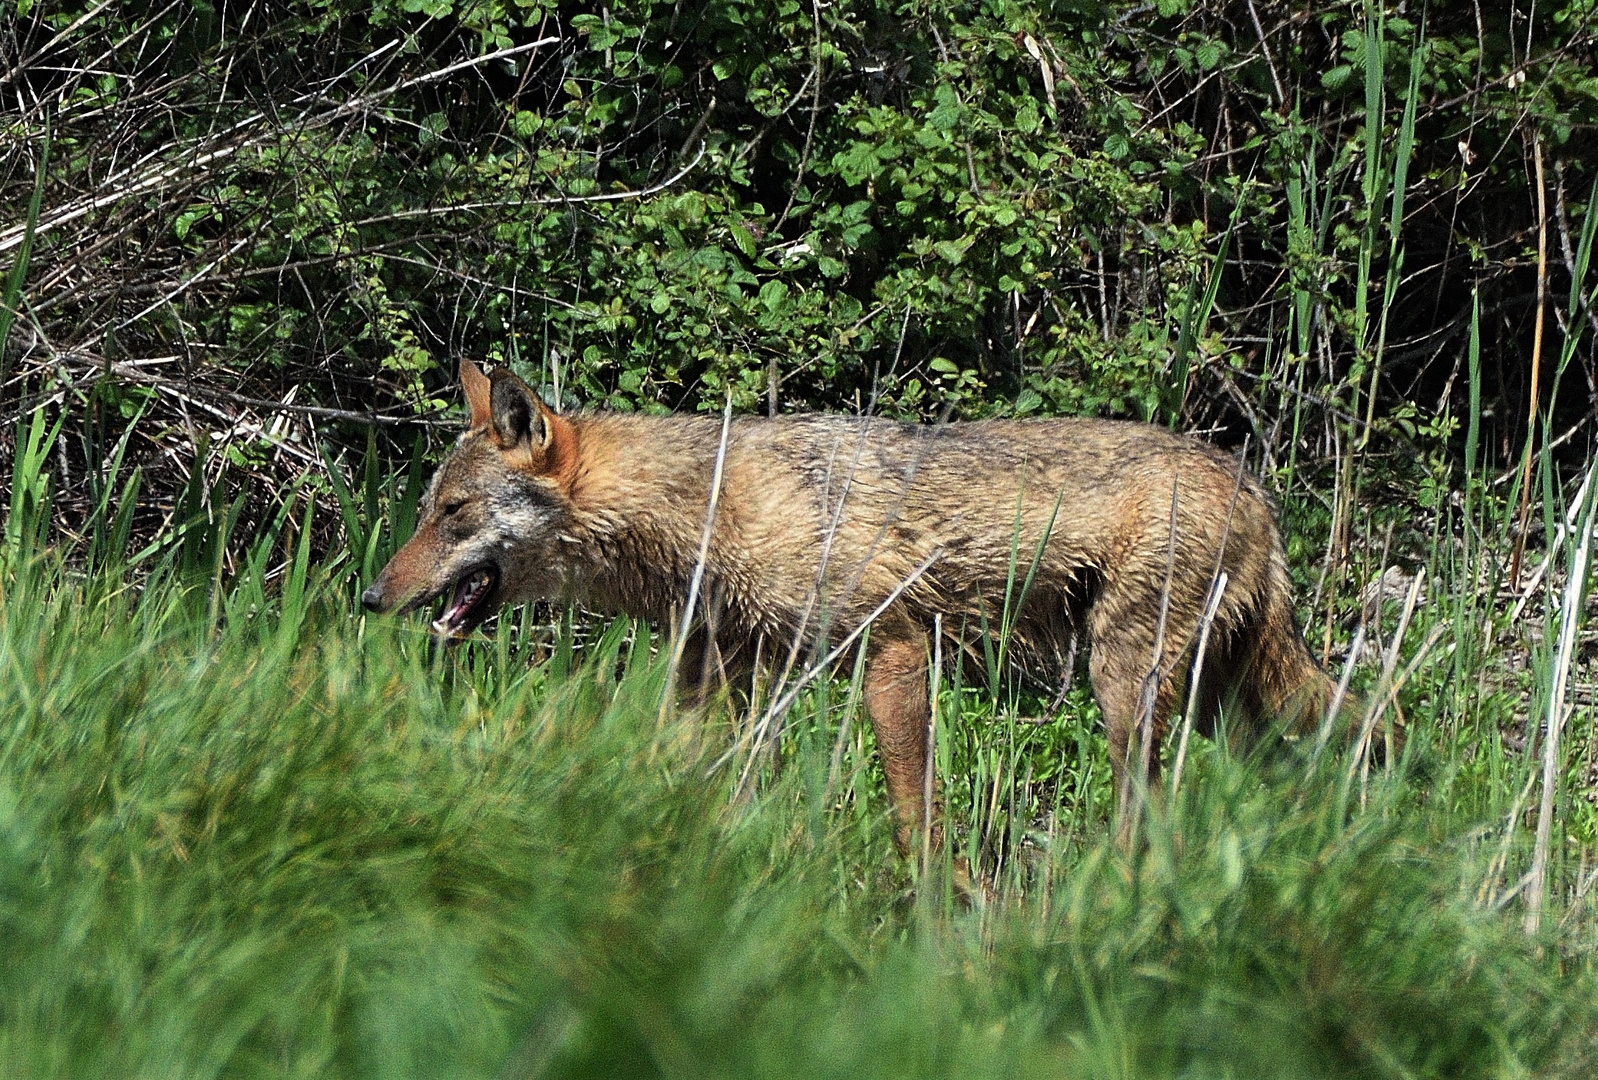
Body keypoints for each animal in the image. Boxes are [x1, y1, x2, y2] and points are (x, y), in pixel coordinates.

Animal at [359, 362, 1335, 862]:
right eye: (428, 509)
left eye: (453, 513)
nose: (369, 597)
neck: (715, 508)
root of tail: (1256, 488)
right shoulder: (716, 678)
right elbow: (677, 783)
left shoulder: (893, 652)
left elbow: (914, 815)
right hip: (1221, 709)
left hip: (1129, 694)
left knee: (1151, 811)